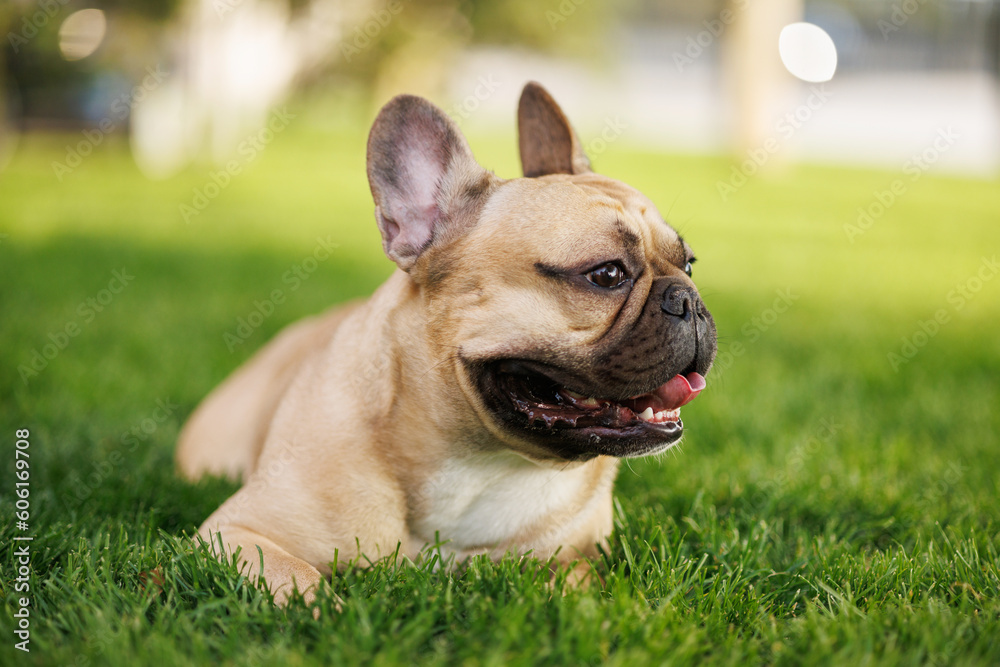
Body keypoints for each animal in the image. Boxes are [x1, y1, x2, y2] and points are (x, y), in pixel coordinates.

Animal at [176, 82, 716, 604]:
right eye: (606, 275)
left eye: (689, 265)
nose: (687, 300)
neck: (477, 461)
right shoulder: (235, 534)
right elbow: (302, 583)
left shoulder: (579, 555)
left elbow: (576, 588)